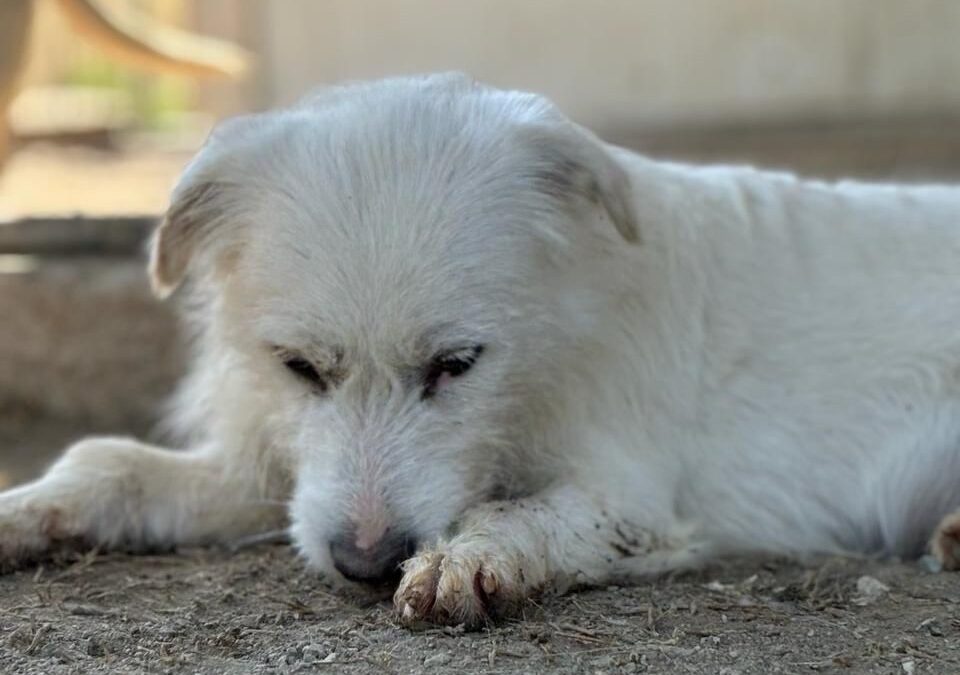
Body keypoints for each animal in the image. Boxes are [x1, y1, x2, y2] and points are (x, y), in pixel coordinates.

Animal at [1, 74, 960, 628]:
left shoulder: (632, 496)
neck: (551, 350)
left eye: (456, 364)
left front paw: (471, 557)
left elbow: (527, 513)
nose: (366, 564)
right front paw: (28, 508)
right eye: (299, 366)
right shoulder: (282, 479)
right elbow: (110, 461)